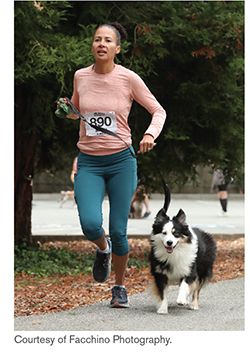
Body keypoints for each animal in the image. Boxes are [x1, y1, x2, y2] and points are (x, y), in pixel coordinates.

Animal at [149, 186, 216, 316]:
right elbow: (162, 292)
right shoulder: (159, 273)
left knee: (197, 288)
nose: (169, 243)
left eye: (176, 233)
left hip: (203, 268)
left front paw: (181, 300)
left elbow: (185, 285)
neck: (174, 253)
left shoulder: (189, 268)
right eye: (164, 233)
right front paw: (163, 309)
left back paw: (194, 304)